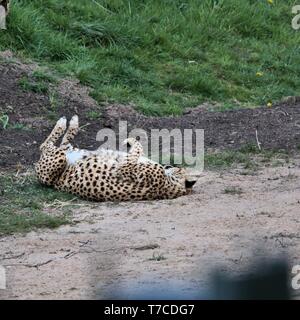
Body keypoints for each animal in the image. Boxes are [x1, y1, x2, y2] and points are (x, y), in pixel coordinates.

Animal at [35, 115, 198, 202]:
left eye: (179, 168)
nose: (169, 166)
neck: (171, 185)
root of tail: (56, 184)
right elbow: (138, 150)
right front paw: (130, 142)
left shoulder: (124, 169)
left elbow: (137, 150)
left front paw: (130, 141)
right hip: (70, 153)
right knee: (60, 144)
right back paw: (72, 122)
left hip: (57, 162)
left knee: (46, 146)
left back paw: (64, 123)